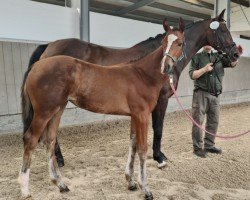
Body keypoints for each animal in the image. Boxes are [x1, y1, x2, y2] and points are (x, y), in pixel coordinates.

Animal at [18, 19, 186, 200]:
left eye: (180, 43)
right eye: (163, 43)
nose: (166, 67)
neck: (143, 75)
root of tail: (36, 66)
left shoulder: (135, 115)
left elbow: (132, 144)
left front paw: (131, 182)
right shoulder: (142, 115)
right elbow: (142, 148)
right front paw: (146, 189)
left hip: (57, 109)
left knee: (49, 140)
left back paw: (61, 184)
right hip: (44, 112)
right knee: (31, 139)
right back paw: (25, 189)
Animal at [24, 9, 240, 169]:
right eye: (223, 30)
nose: (235, 55)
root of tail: (48, 47)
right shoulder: (161, 100)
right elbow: (158, 128)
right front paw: (159, 157)